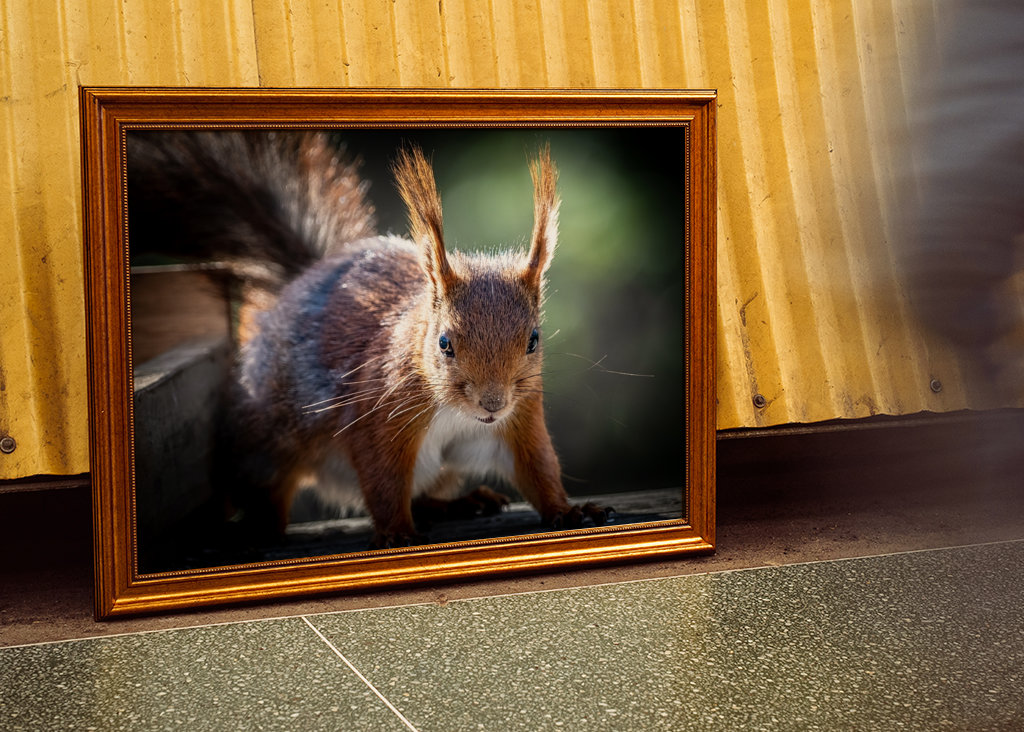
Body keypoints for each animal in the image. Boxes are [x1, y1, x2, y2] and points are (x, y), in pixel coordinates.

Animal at [126, 131, 611, 548]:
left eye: (533, 340)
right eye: (444, 343)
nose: (491, 403)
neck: (458, 412)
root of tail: (297, 283)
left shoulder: (520, 418)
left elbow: (537, 469)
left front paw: (567, 511)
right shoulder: (379, 413)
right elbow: (382, 477)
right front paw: (396, 532)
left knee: (429, 491)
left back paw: (460, 502)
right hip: (267, 441)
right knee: (265, 491)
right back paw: (260, 529)